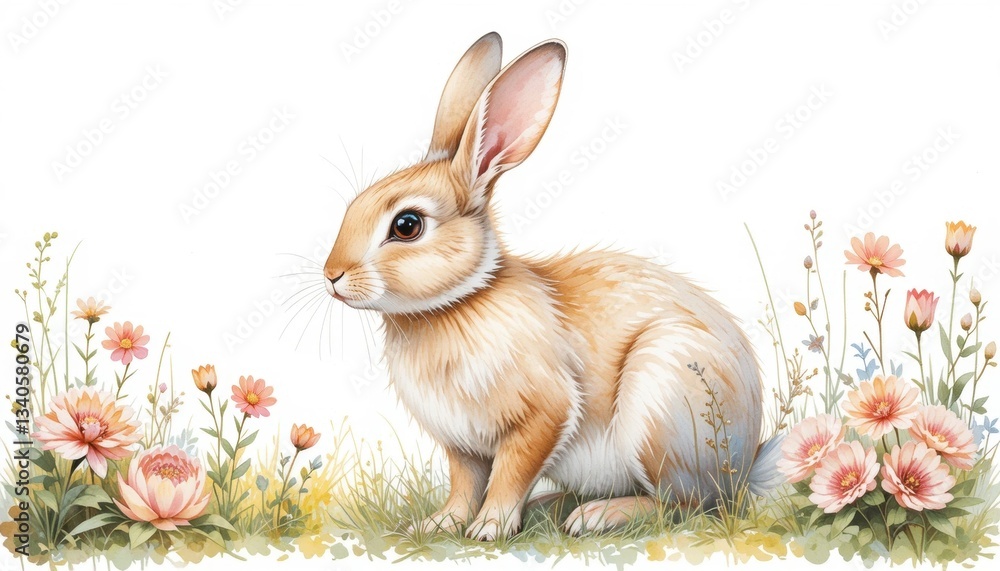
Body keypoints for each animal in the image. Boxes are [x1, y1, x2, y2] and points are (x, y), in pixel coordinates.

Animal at [322, 32, 783, 541]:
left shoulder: (544, 413)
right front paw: (438, 524)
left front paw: (489, 528)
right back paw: (555, 504)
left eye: (407, 225)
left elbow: (511, 472)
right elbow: (465, 483)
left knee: (684, 505)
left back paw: (596, 517)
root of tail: (742, 466)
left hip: (660, 400)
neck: (457, 302)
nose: (332, 275)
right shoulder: (461, 443)